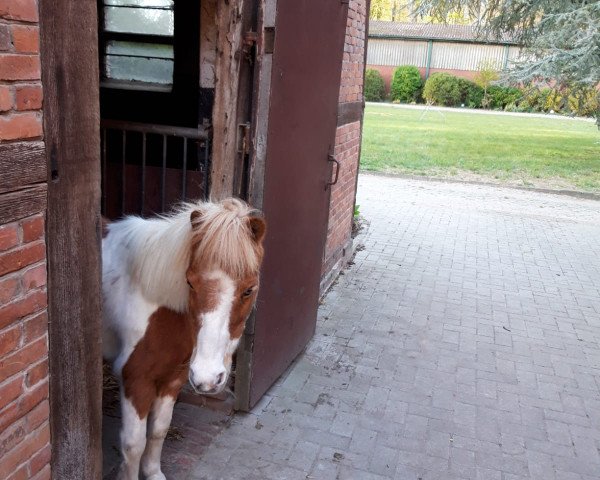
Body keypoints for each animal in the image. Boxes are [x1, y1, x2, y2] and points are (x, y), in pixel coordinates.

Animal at [102, 197, 266, 478]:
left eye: (249, 290)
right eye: (190, 283)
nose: (208, 377)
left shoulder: (173, 378)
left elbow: (159, 430)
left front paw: (153, 473)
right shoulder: (136, 378)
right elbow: (133, 445)